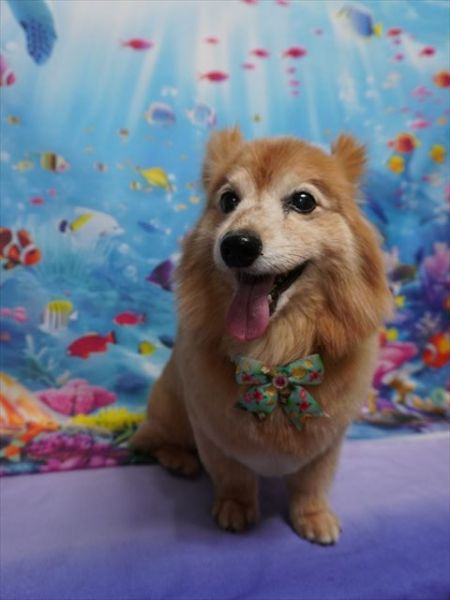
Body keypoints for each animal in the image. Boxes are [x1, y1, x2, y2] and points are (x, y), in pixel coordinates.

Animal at [131, 128, 392, 545]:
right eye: (228, 200)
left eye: (303, 201)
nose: (236, 245)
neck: (276, 359)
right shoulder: (213, 432)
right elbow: (233, 475)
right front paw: (236, 507)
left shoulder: (328, 441)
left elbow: (312, 483)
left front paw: (313, 516)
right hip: (170, 408)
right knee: (155, 440)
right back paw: (179, 459)